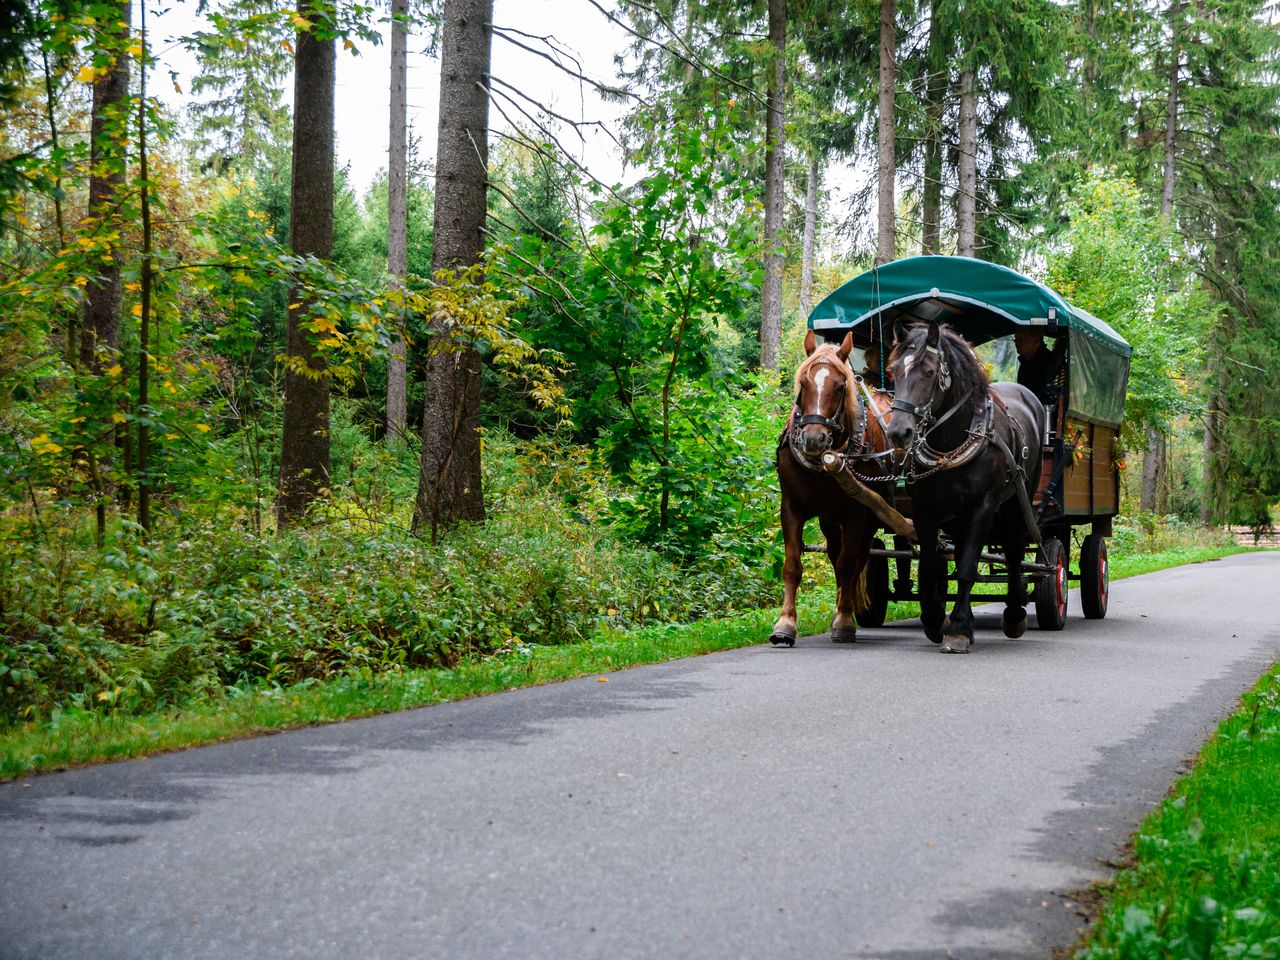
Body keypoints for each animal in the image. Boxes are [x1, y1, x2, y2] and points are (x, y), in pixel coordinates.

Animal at [762, 330, 896, 647]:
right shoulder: (792, 508)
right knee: (837, 555)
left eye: (840, 386)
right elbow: (792, 565)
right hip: (829, 519)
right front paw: (785, 624)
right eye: (804, 382)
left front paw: (845, 622)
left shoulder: (857, 513)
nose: (814, 439)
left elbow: (848, 564)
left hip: (871, 516)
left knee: (856, 559)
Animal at [885, 323, 1044, 655]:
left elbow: (968, 566)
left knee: (1014, 550)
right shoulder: (925, 510)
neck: (951, 442)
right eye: (894, 370)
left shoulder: (982, 507)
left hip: (1018, 500)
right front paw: (935, 621)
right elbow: (932, 565)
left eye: (930, 372)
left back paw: (1014, 614)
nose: (898, 432)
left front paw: (957, 630)